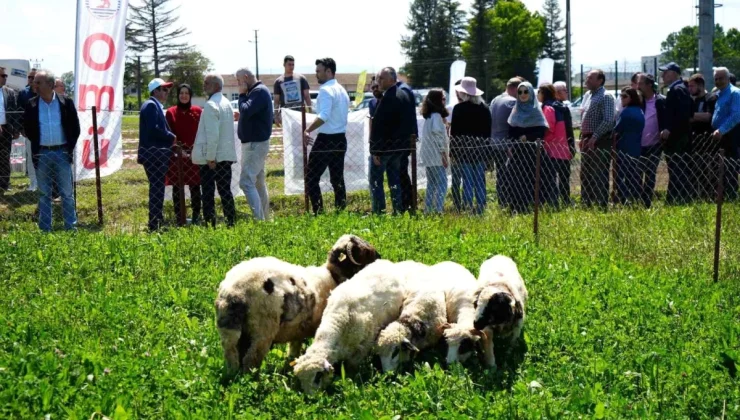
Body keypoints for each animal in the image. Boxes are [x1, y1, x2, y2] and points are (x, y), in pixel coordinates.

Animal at [212, 233, 378, 374]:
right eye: (365, 252)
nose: (380, 257)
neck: (332, 276)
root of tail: (235, 292)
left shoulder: (298, 329)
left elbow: (294, 347)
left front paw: (290, 362)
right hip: (262, 331)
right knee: (250, 360)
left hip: (230, 332)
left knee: (233, 357)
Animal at [290, 260, 428, 394]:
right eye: (301, 380)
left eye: (317, 376)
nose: (312, 398)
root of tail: (387, 263)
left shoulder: (362, 349)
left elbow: (352, 369)